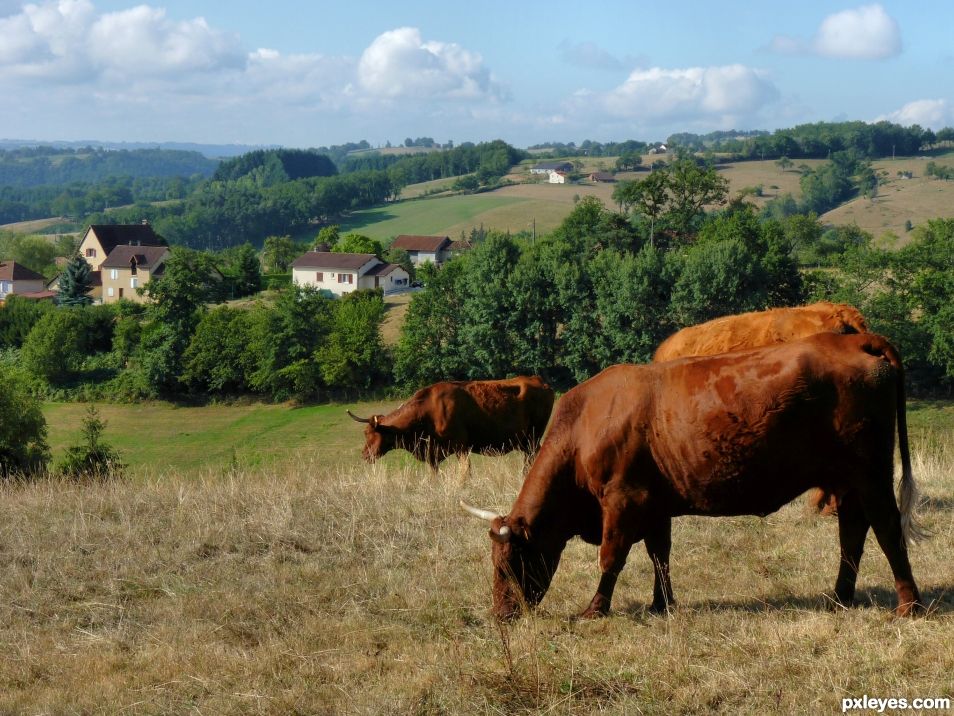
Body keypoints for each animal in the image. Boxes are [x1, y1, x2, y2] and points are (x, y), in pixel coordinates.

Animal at [346, 374, 552, 470]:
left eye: (369, 434)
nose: (364, 454)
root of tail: (537, 379)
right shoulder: (433, 454)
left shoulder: (461, 446)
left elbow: (464, 472)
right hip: (527, 441)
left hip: (533, 437)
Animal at [462, 336, 924, 620]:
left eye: (509, 564)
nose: (501, 615)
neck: (586, 424)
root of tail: (851, 340)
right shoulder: (654, 505)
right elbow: (659, 555)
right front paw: (661, 604)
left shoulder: (622, 501)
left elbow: (612, 558)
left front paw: (595, 608)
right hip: (846, 480)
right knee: (852, 533)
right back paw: (839, 597)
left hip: (870, 473)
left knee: (886, 529)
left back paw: (908, 605)